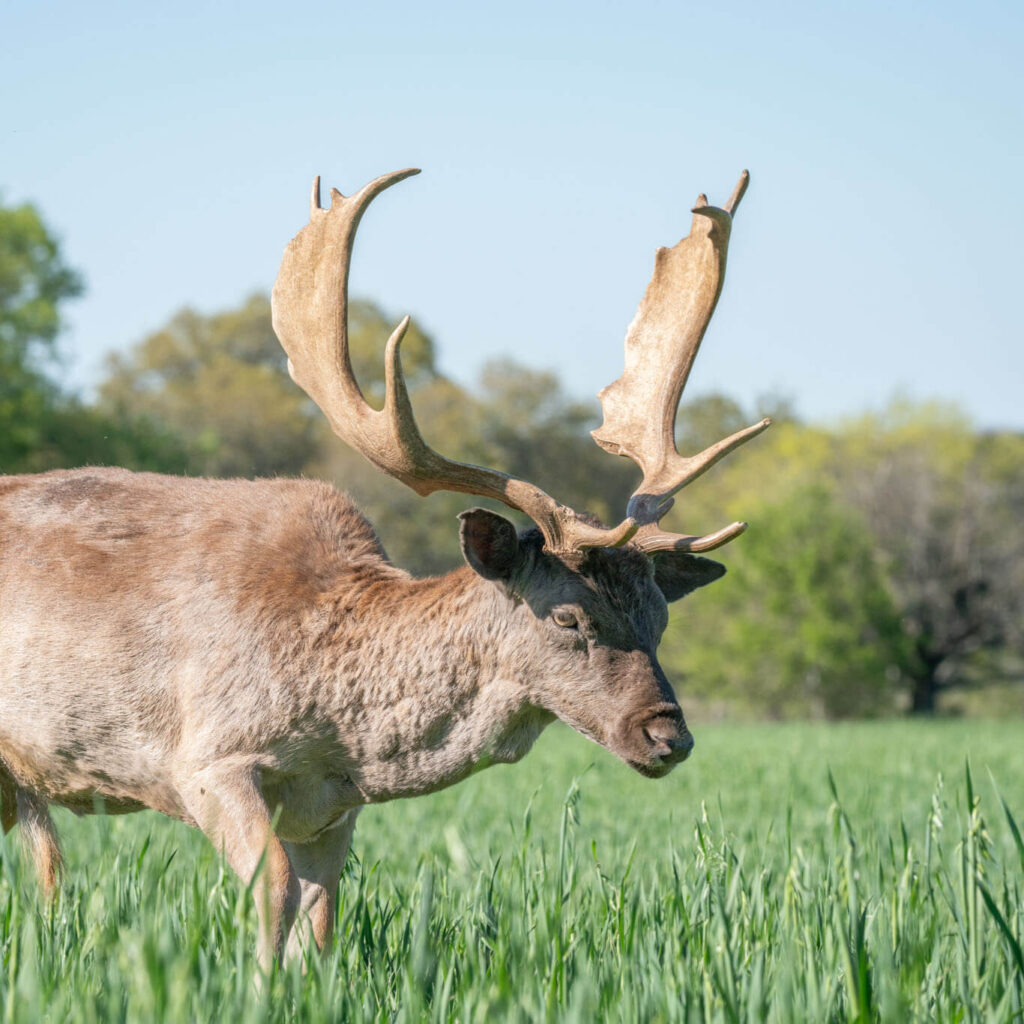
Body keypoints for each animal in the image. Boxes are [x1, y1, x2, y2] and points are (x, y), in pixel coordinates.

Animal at [0, 166, 769, 968]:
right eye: (568, 617)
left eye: (660, 618)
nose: (668, 737)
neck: (341, 724)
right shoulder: (207, 758)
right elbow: (272, 896)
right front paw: (253, 983)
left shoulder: (329, 807)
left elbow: (320, 921)